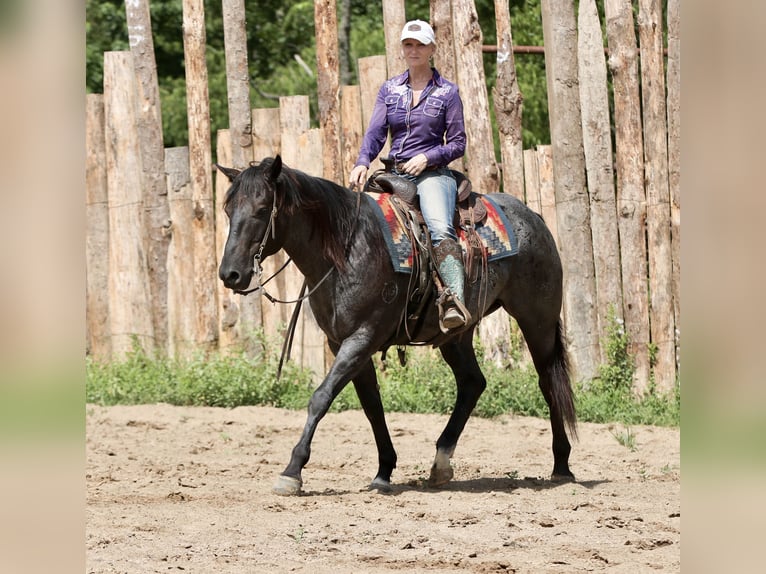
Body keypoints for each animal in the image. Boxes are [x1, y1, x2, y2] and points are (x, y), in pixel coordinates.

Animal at [216, 155, 577, 496]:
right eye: (228, 209)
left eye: (262, 209)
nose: (230, 274)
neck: (346, 250)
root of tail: (533, 218)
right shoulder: (344, 343)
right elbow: (372, 406)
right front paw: (383, 471)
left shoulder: (362, 338)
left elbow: (321, 397)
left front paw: (292, 471)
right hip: (456, 335)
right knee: (472, 383)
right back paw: (441, 463)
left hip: (538, 321)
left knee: (549, 382)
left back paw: (561, 464)